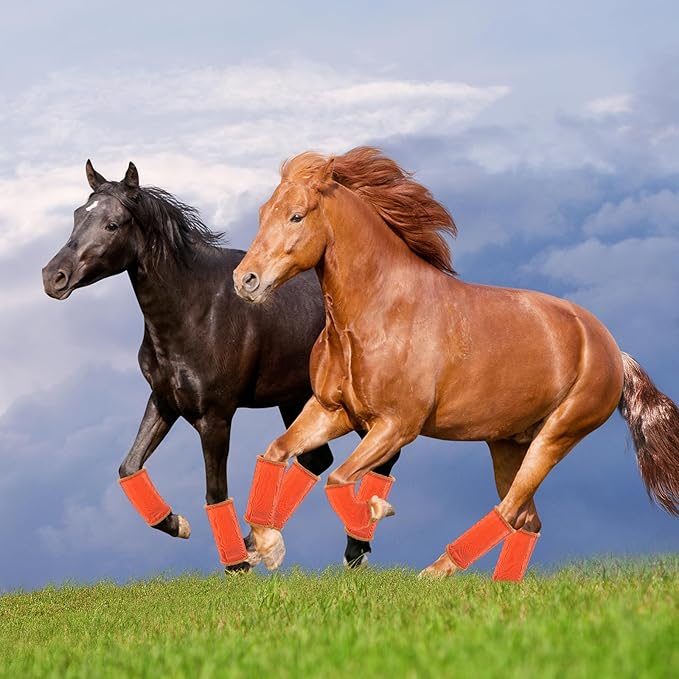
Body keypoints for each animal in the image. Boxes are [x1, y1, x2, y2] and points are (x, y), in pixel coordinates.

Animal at [41, 159, 401, 571]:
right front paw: (178, 524)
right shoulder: (164, 402)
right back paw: (263, 541)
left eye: (112, 224)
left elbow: (215, 492)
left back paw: (353, 548)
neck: (196, 311)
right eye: (77, 215)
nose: (53, 277)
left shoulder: (215, 418)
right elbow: (129, 466)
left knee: (381, 458)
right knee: (317, 457)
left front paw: (236, 565)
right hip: (296, 400)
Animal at [232, 146, 679, 579]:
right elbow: (276, 452)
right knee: (527, 520)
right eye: (262, 212)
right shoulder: (332, 411)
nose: (245, 280)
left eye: (296, 215)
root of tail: (612, 351)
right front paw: (267, 546)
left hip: (556, 435)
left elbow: (339, 480)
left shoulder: (396, 426)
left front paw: (374, 511)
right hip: (508, 444)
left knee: (509, 510)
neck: (378, 313)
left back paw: (435, 571)